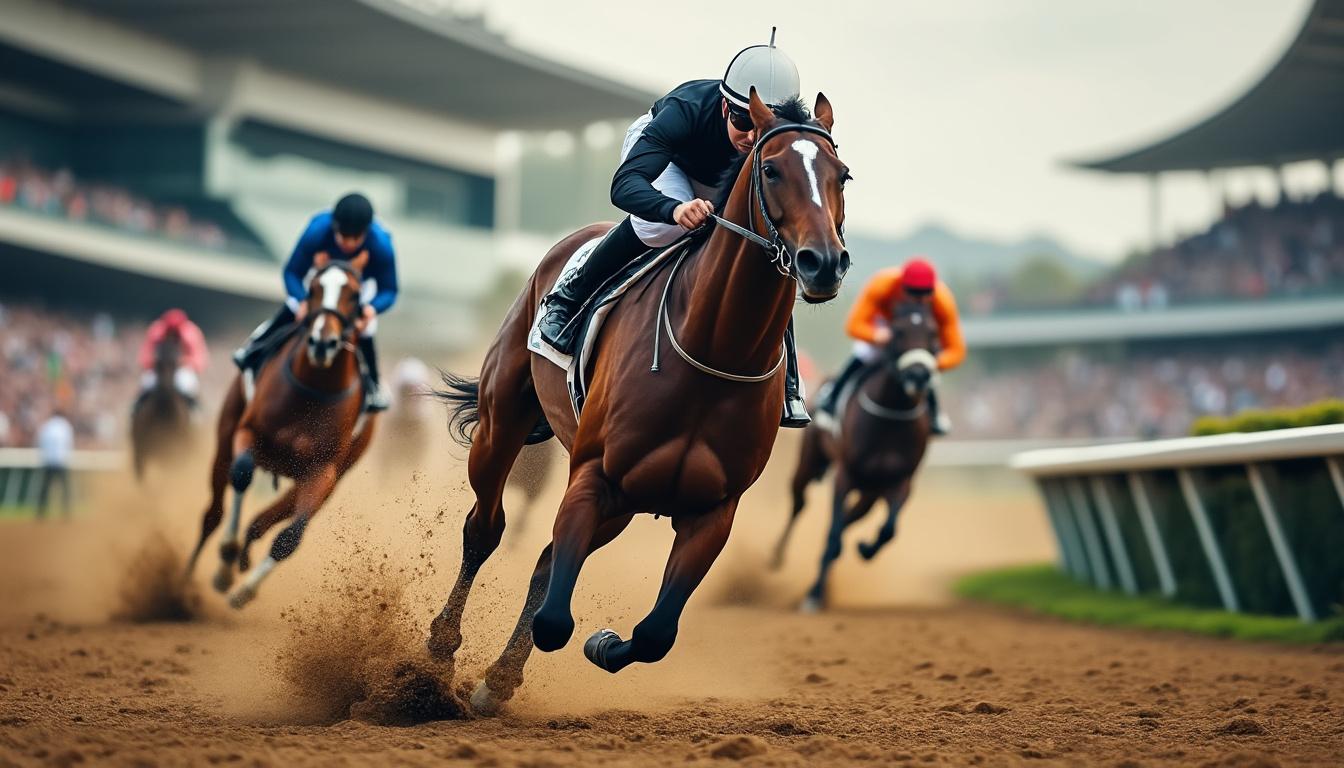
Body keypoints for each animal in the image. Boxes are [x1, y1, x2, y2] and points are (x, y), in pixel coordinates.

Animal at [186, 256, 377, 609]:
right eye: (313, 288)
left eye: (355, 295)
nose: (322, 343)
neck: (315, 388)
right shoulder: (248, 433)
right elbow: (242, 474)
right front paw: (227, 559)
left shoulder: (323, 471)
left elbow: (291, 536)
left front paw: (245, 590)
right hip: (225, 435)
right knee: (213, 513)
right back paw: (190, 577)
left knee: (262, 522)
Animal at [428, 89, 850, 713]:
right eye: (772, 170)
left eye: (842, 175)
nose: (823, 262)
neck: (714, 349)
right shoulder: (593, 475)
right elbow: (555, 621)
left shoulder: (712, 511)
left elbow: (654, 634)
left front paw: (603, 643)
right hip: (503, 420)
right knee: (485, 528)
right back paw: (440, 648)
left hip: (623, 505)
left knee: (546, 562)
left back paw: (497, 680)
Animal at [771, 299, 938, 611]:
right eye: (898, 331)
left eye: (934, 333)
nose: (919, 376)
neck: (891, 416)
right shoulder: (845, 475)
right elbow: (833, 536)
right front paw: (814, 594)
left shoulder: (902, 481)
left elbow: (888, 530)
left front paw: (865, 548)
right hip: (810, 461)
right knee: (799, 503)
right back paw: (776, 556)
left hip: (870, 492)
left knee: (850, 519)